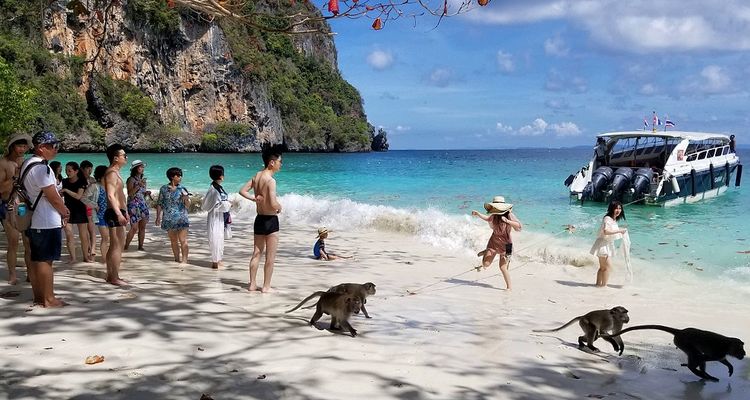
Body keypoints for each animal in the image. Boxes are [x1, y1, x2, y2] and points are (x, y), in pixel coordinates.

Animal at [604, 324, 744, 382]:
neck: (728, 345)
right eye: (741, 349)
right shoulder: (719, 351)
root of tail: (681, 331)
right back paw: (698, 371)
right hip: (682, 341)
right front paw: (692, 366)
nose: (744, 354)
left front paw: (730, 367)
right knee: (695, 354)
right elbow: (704, 357)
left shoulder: (722, 353)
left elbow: (721, 359)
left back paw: (704, 374)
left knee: (696, 354)